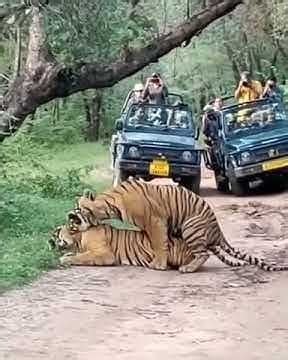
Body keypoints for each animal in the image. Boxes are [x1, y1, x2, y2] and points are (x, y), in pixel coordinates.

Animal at [50, 214, 245, 270]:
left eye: (56, 231)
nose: (48, 240)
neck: (79, 238)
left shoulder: (104, 254)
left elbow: (82, 257)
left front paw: (65, 259)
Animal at [71, 179, 288, 272]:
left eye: (77, 209)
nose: (68, 214)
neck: (111, 205)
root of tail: (217, 229)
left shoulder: (155, 221)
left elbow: (159, 243)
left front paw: (158, 265)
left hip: (190, 226)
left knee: (203, 253)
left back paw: (188, 268)